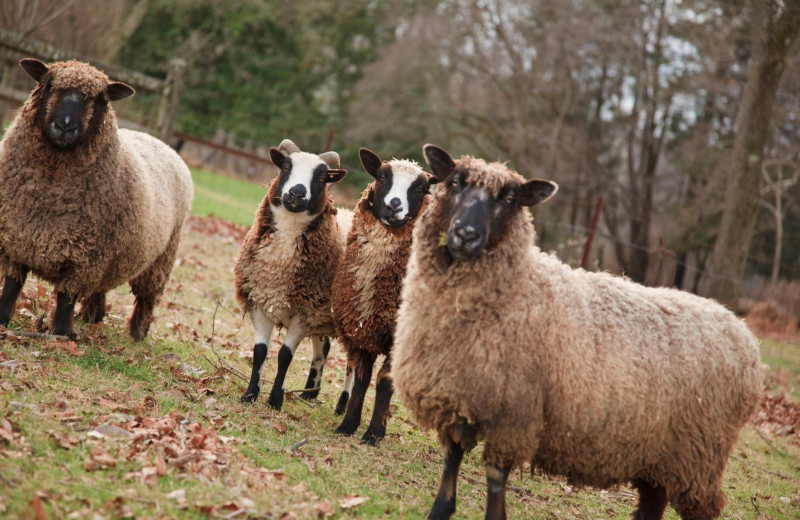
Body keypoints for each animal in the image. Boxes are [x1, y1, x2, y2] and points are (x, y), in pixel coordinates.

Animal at [0, 59, 193, 340]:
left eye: (99, 98)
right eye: (50, 86)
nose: (64, 126)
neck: (50, 195)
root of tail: (160, 142)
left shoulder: (83, 258)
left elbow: (66, 298)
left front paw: (61, 334)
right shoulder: (17, 242)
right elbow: (12, 287)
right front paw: (2, 320)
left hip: (160, 258)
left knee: (147, 298)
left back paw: (138, 332)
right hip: (112, 256)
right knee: (101, 287)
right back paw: (92, 316)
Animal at [234, 137, 354, 410]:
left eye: (322, 177)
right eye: (286, 167)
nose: (297, 193)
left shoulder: (304, 313)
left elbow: (284, 356)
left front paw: (275, 400)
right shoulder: (260, 302)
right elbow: (260, 352)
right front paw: (250, 394)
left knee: (356, 365)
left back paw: (343, 405)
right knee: (324, 347)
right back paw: (310, 392)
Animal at [328, 148, 434, 444]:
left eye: (422, 188)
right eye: (382, 176)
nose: (394, 205)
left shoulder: (400, 338)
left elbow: (385, 382)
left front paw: (374, 434)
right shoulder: (360, 329)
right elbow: (362, 380)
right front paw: (348, 425)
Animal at [392, 143, 764, 520]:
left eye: (509, 199)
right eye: (455, 182)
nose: (465, 235)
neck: (517, 285)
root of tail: (745, 337)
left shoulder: (512, 416)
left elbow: (495, 480)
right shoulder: (457, 396)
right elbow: (451, 460)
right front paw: (439, 510)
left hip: (699, 456)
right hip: (659, 455)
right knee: (652, 503)